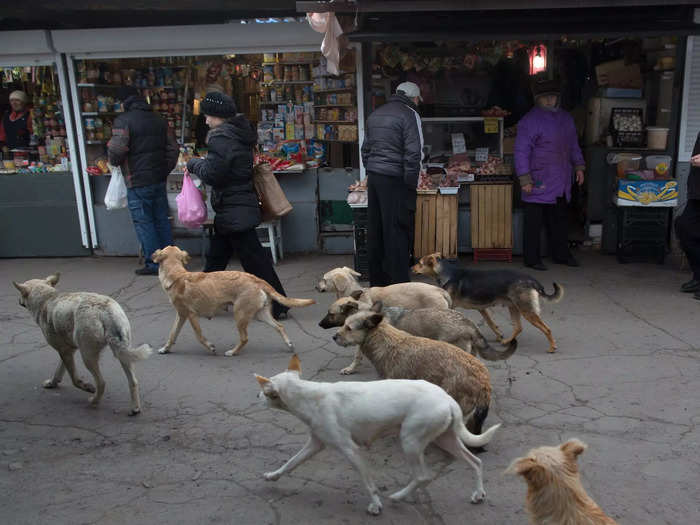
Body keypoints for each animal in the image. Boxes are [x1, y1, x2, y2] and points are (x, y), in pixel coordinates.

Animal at [12, 272, 152, 416]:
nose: (18, 301)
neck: (46, 298)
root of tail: (106, 311)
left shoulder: (65, 351)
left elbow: (74, 379)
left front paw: (86, 387)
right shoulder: (68, 351)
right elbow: (59, 371)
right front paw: (53, 383)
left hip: (88, 357)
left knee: (101, 383)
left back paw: (94, 400)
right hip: (123, 355)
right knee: (133, 382)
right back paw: (135, 408)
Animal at [156, 246, 318, 356]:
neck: (177, 276)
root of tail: (257, 279)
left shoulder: (191, 315)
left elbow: (199, 336)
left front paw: (210, 347)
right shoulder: (181, 315)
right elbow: (172, 334)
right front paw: (165, 349)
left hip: (239, 315)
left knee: (245, 338)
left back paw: (233, 352)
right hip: (261, 314)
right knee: (279, 327)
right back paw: (289, 344)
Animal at [254, 354, 500, 512]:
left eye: (264, 392)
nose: (256, 397)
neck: (308, 396)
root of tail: (448, 399)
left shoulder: (351, 450)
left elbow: (368, 482)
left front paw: (375, 504)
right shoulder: (314, 445)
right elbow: (290, 464)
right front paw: (273, 476)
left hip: (410, 441)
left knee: (423, 476)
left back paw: (398, 496)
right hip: (446, 439)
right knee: (475, 461)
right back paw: (478, 493)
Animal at [412, 253, 568, 352]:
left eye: (419, 263)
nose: (410, 267)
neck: (448, 273)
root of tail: (532, 280)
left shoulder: (453, 306)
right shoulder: (482, 308)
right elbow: (491, 322)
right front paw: (499, 335)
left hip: (526, 310)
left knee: (546, 329)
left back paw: (552, 347)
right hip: (514, 307)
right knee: (518, 327)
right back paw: (506, 342)